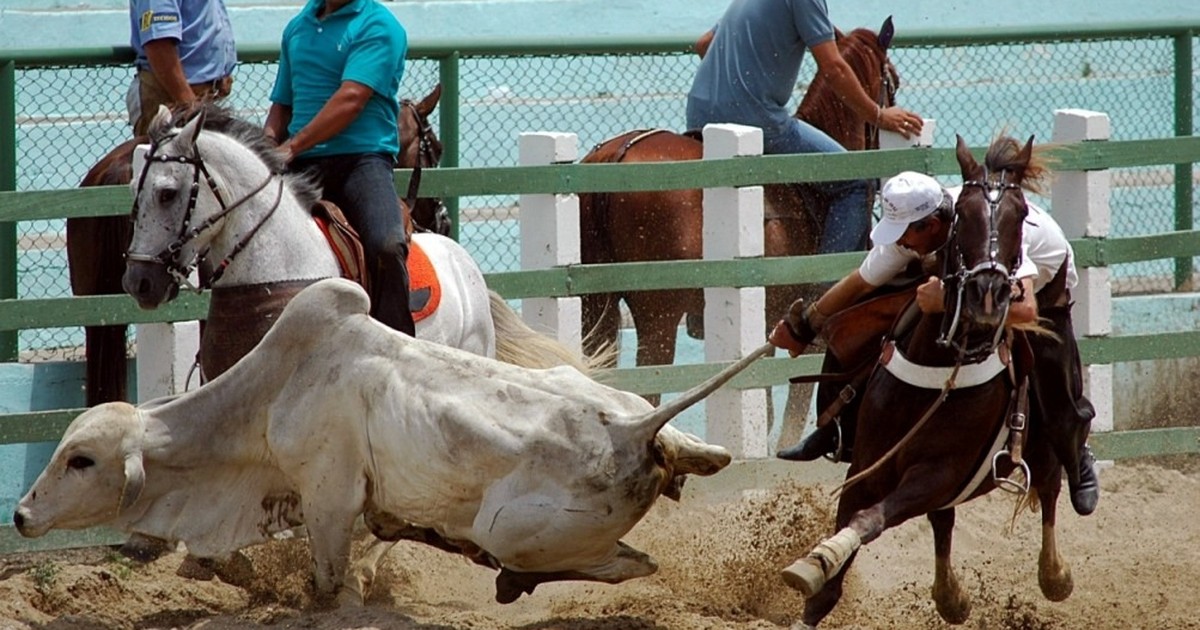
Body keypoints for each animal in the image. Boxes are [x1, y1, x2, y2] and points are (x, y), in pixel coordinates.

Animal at [11, 277, 768, 602]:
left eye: (81, 459)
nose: (20, 514)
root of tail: (637, 429)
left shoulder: (327, 498)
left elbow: (327, 583)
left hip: (512, 527)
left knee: (624, 564)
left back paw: (509, 577)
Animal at [782, 132, 1075, 624]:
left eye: (1020, 216)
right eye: (964, 216)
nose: (988, 294)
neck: (937, 370)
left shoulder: (939, 472)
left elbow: (870, 520)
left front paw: (820, 557)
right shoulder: (868, 464)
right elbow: (833, 573)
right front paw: (814, 567)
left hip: (1043, 435)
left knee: (1052, 484)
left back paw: (1054, 573)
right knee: (944, 520)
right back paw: (950, 597)